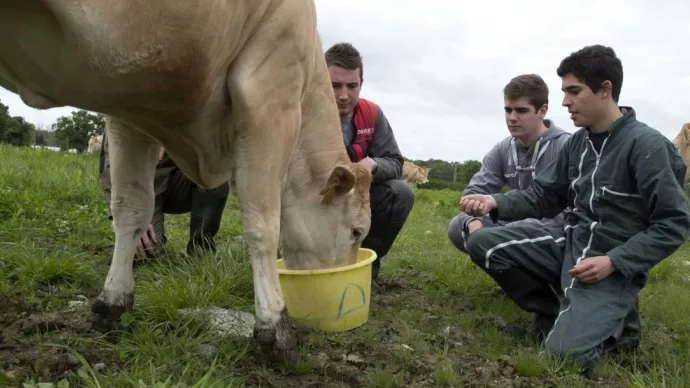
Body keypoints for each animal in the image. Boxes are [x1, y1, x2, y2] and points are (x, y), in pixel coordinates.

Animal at [0, 0, 374, 358]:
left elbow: (129, 210)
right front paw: (275, 326)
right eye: (357, 231)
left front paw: (114, 302)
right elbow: (263, 226)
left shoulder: (127, 114)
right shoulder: (270, 96)